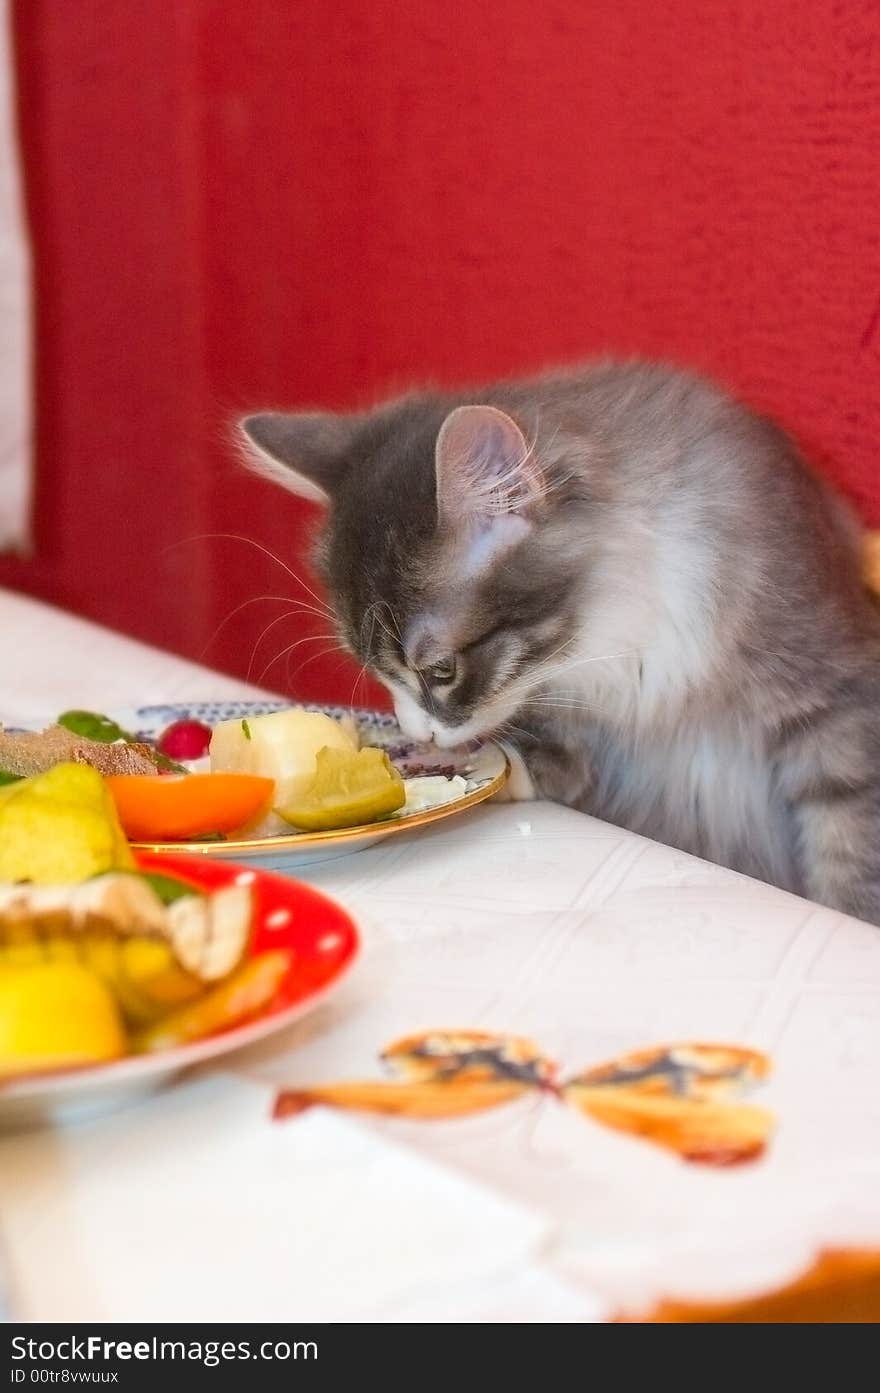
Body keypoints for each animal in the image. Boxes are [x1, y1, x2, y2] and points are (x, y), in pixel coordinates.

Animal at [240, 364, 880, 919]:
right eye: (376, 672)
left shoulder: (834, 691)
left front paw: (851, 912)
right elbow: (555, 765)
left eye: (441, 670)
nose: (415, 733)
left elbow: (852, 839)